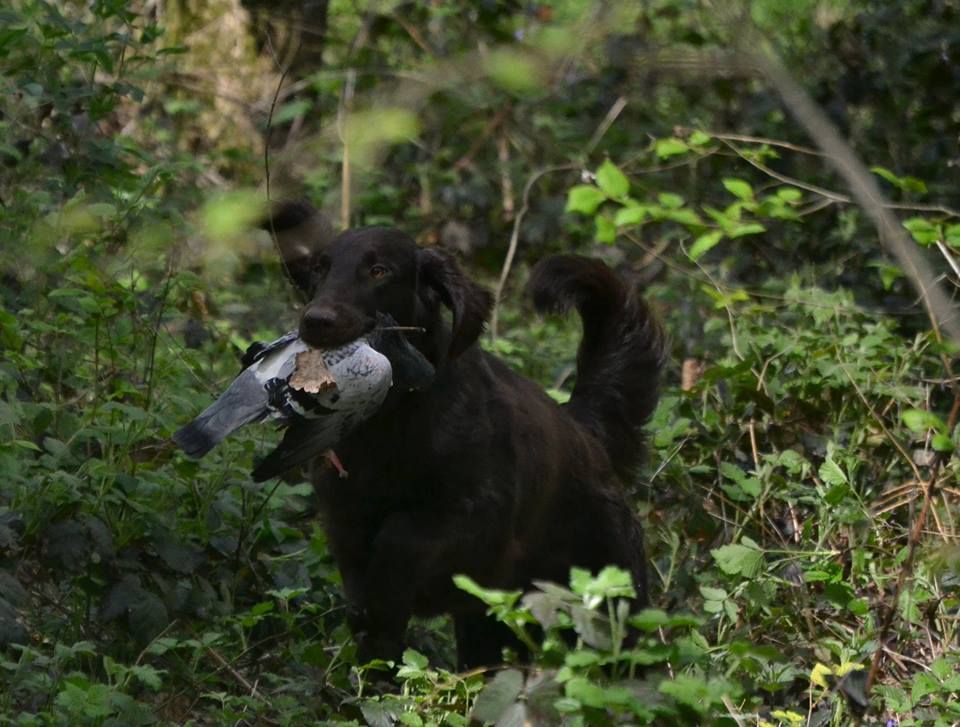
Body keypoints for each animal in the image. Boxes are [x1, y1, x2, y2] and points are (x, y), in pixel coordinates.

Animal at [266, 202, 664, 668]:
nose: (316, 320)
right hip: (489, 626)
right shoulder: (343, 516)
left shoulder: (478, 518)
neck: (393, 421)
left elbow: (401, 536)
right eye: (320, 270)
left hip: (611, 595)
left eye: (379, 271)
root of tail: (585, 430)